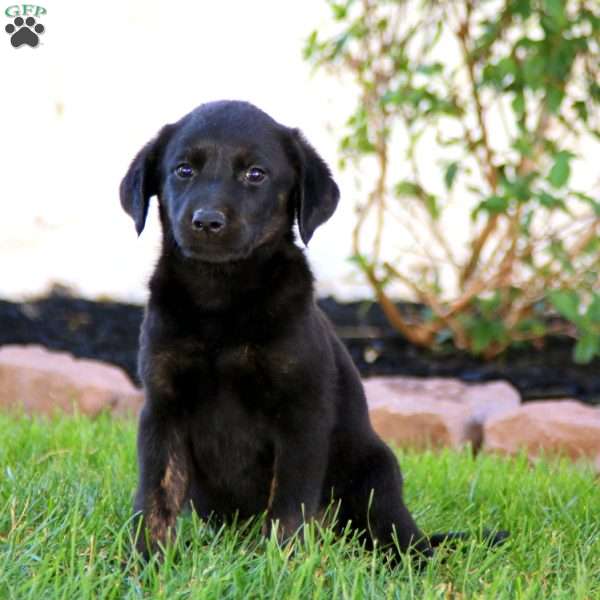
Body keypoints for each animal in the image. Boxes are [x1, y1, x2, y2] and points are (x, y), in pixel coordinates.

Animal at [119, 99, 504, 564]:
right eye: (183, 170)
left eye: (256, 174)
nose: (207, 222)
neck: (221, 298)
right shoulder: (163, 407)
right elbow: (155, 495)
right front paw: (145, 560)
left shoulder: (299, 413)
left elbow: (288, 502)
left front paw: (278, 563)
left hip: (376, 475)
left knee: (393, 532)